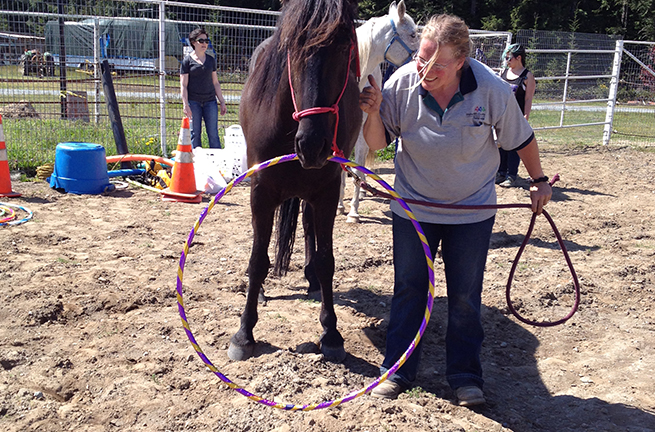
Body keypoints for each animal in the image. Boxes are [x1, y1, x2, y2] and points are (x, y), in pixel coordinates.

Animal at [228, 0, 364, 362]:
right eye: (293, 45)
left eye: (344, 45)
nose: (312, 144)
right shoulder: (261, 192)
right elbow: (258, 260)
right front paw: (244, 334)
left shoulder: (327, 193)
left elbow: (327, 260)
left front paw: (331, 333)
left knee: (306, 227)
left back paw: (311, 279)